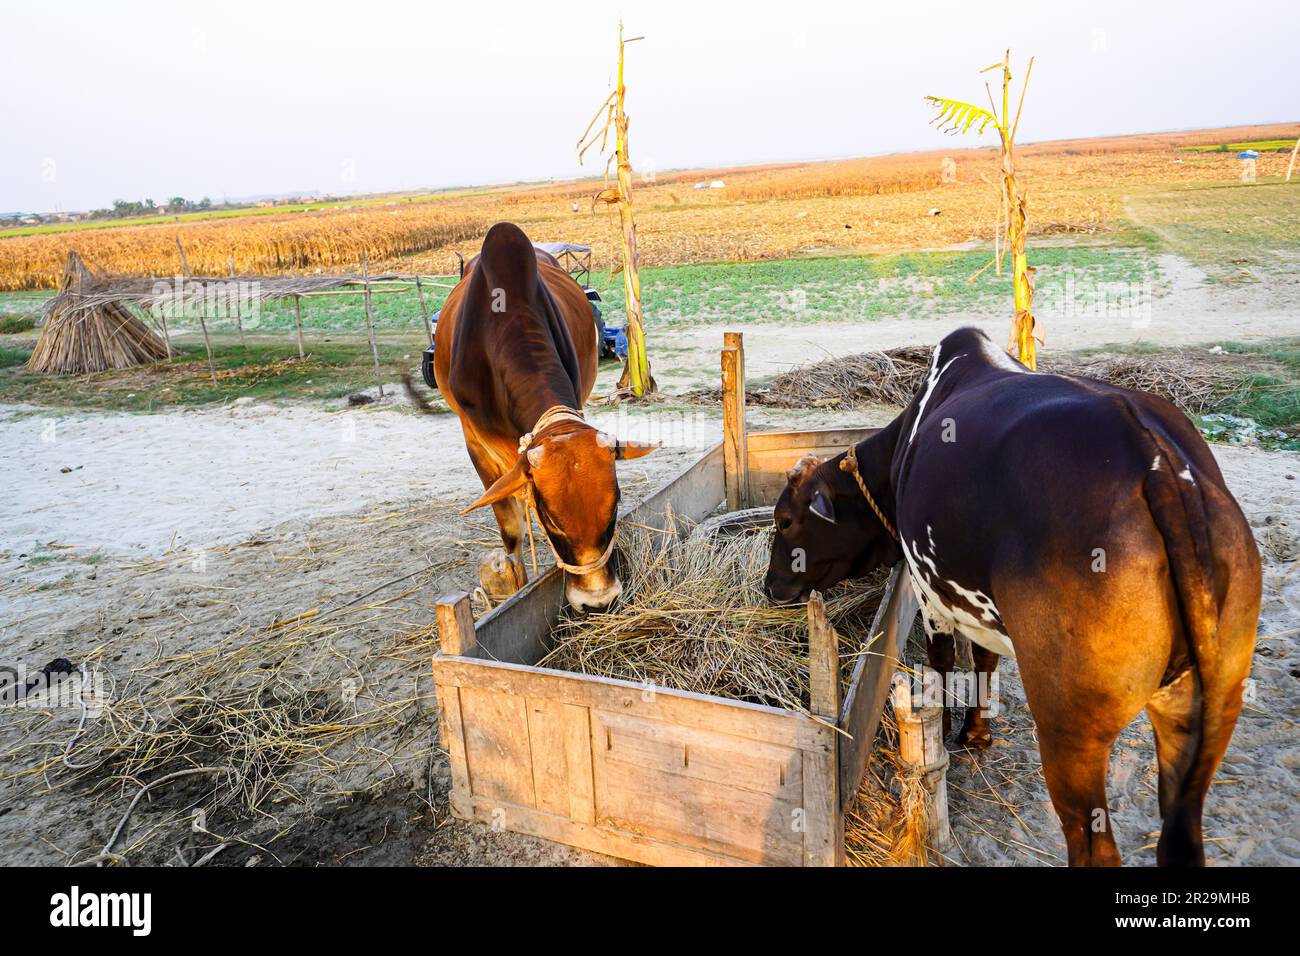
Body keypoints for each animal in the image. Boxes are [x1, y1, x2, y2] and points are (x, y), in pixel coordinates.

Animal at [416, 222, 656, 611]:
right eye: (552, 520)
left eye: (615, 507)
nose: (599, 601)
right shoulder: (476, 441)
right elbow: (511, 524)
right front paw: (510, 581)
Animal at [764, 327, 1260, 866]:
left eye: (786, 520)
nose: (770, 587)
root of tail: (1160, 466)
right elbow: (984, 662)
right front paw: (977, 733)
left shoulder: (931, 593)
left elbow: (944, 666)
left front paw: (951, 731)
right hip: (1201, 716)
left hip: (1070, 730)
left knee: (1093, 843)